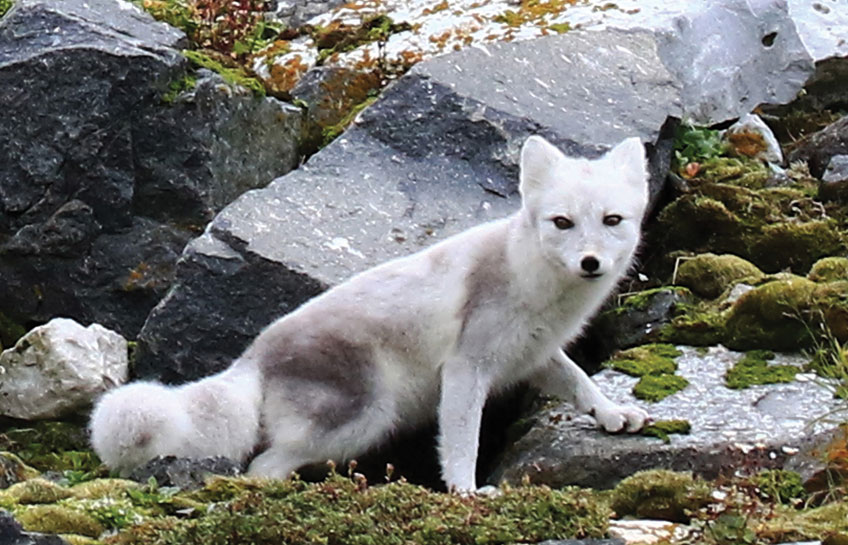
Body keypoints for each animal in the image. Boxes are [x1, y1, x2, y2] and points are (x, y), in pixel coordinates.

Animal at [91, 134, 648, 490]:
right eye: (561, 222)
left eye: (612, 220)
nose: (591, 262)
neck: (531, 280)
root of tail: (253, 358)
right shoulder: (467, 367)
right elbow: (462, 439)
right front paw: (466, 491)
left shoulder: (535, 354)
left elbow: (578, 382)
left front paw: (612, 413)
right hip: (367, 416)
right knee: (262, 466)